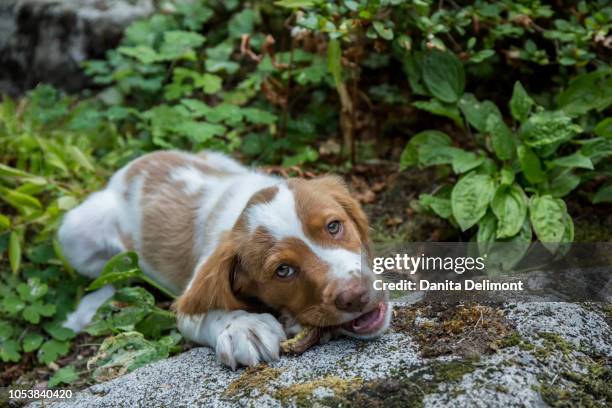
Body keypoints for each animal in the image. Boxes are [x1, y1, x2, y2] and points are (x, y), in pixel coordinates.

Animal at [58, 151, 392, 370]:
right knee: (111, 276)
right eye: (283, 270)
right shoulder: (189, 303)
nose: (355, 296)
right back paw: (88, 311)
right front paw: (245, 329)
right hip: (75, 232)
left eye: (334, 226)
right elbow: (213, 312)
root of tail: (129, 168)